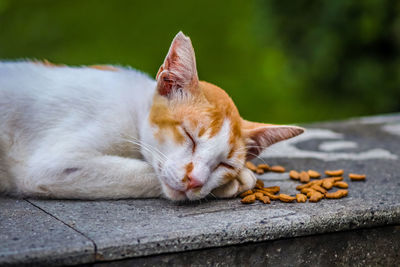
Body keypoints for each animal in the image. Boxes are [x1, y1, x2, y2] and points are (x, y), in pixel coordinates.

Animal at [0, 31, 304, 201]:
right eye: (190, 137)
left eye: (225, 164)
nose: (195, 181)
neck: (133, 108)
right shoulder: (53, 166)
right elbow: (143, 172)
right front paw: (239, 181)